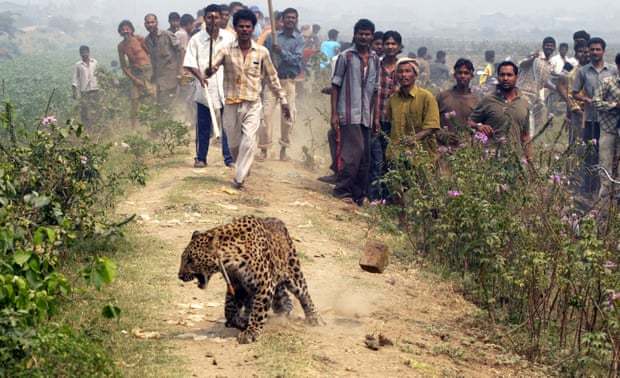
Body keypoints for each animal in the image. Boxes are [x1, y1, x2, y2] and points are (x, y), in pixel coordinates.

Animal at [176, 216, 318, 342]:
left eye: (190, 260)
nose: (180, 276)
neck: (231, 259)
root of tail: (278, 221)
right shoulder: (236, 285)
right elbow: (229, 310)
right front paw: (240, 323)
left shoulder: (264, 284)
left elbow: (258, 309)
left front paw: (251, 332)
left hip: (294, 272)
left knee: (305, 295)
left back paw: (314, 319)